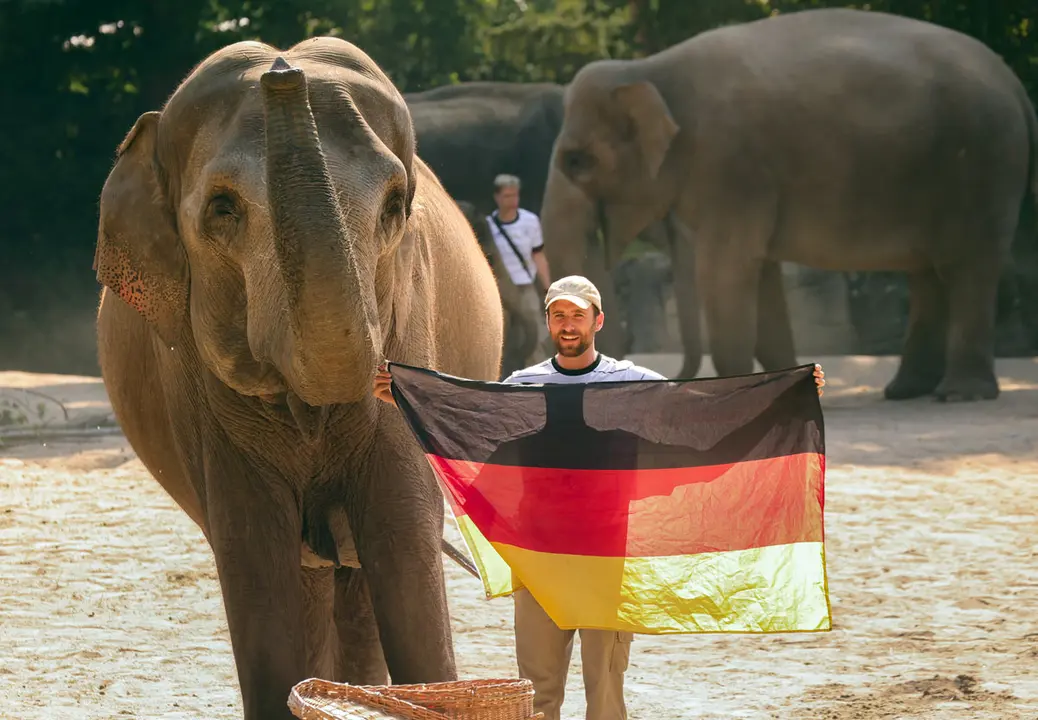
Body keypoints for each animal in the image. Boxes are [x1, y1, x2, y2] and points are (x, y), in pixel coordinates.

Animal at [92, 38, 503, 719]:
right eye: (223, 208)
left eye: (395, 207)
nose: (283, 70)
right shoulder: (200, 395)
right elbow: (256, 559)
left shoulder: (411, 316)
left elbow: (402, 537)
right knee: (309, 579)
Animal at [542, 8, 1038, 401]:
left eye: (577, 161)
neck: (650, 67)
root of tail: (1016, 86)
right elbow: (761, 278)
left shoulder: (732, 165)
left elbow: (726, 273)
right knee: (927, 275)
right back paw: (906, 391)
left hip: (986, 164)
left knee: (969, 268)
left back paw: (960, 394)